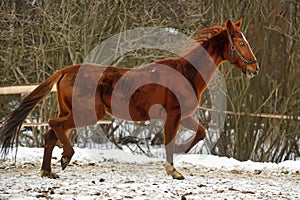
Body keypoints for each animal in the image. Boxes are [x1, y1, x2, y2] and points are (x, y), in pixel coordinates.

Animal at [0, 19, 258, 180]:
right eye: (241, 42)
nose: (255, 68)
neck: (186, 73)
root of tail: (66, 70)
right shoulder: (173, 115)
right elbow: (170, 141)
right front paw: (172, 169)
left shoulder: (183, 115)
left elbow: (201, 132)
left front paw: (179, 156)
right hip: (87, 114)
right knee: (55, 127)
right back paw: (65, 157)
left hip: (71, 112)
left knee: (50, 133)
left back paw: (48, 170)